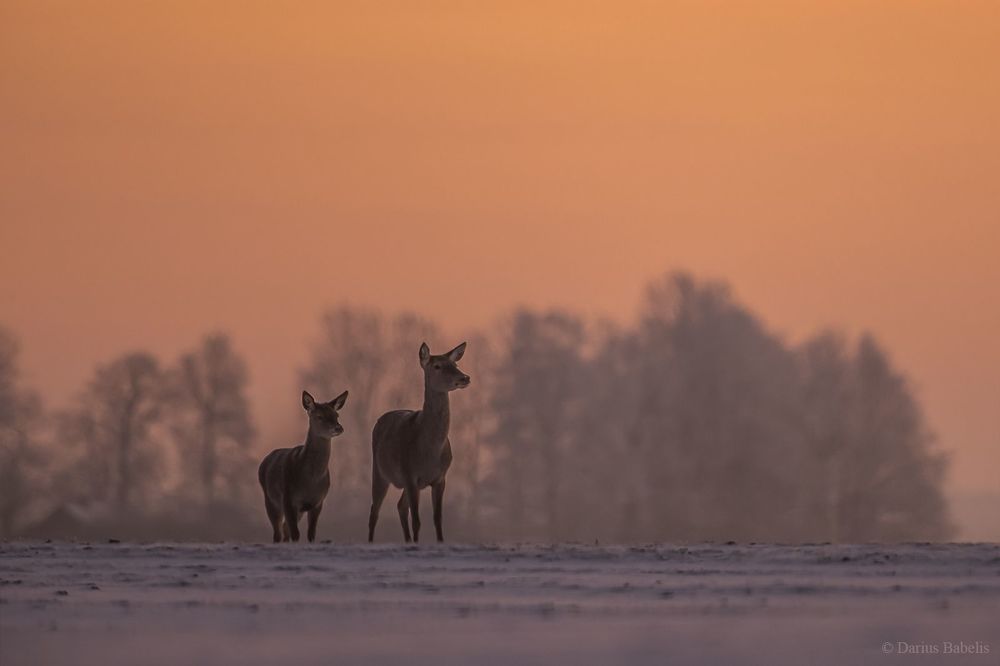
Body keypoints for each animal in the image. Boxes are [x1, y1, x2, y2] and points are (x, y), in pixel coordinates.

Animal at [257, 390, 348, 543]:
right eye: (319, 416)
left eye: (336, 415)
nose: (338, 428)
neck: (311, 480)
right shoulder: (288, 498)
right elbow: (296, 534)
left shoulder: (318, 501)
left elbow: (311, 534)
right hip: (270, 500)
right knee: (278, 533)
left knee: (284, 529)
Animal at [368, 342, 470, 543]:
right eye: (437, 366)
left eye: (455, 364)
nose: (465, 377)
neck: (430, 451)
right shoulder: (410, 474)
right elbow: (417, 520)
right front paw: (417, 542)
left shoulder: (440, 478)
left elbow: (438, 518)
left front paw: (439, 542)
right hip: (379, 471)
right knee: (374, 511)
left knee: (400, 506)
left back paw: (407, 540)